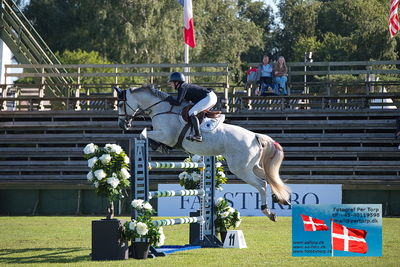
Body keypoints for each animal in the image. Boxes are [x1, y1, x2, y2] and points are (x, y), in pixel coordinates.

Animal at [115, 86, 290, 222]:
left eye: (121, 104)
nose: (122, 125)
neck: (161, 109)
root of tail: (255, 136)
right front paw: (159, 147)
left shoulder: (166, 135)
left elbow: (145, 133)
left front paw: (155, 144)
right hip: (252, 166)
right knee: (269, 177)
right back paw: (282, 200)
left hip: (240, 169)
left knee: (261, 184)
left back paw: (269, 212)